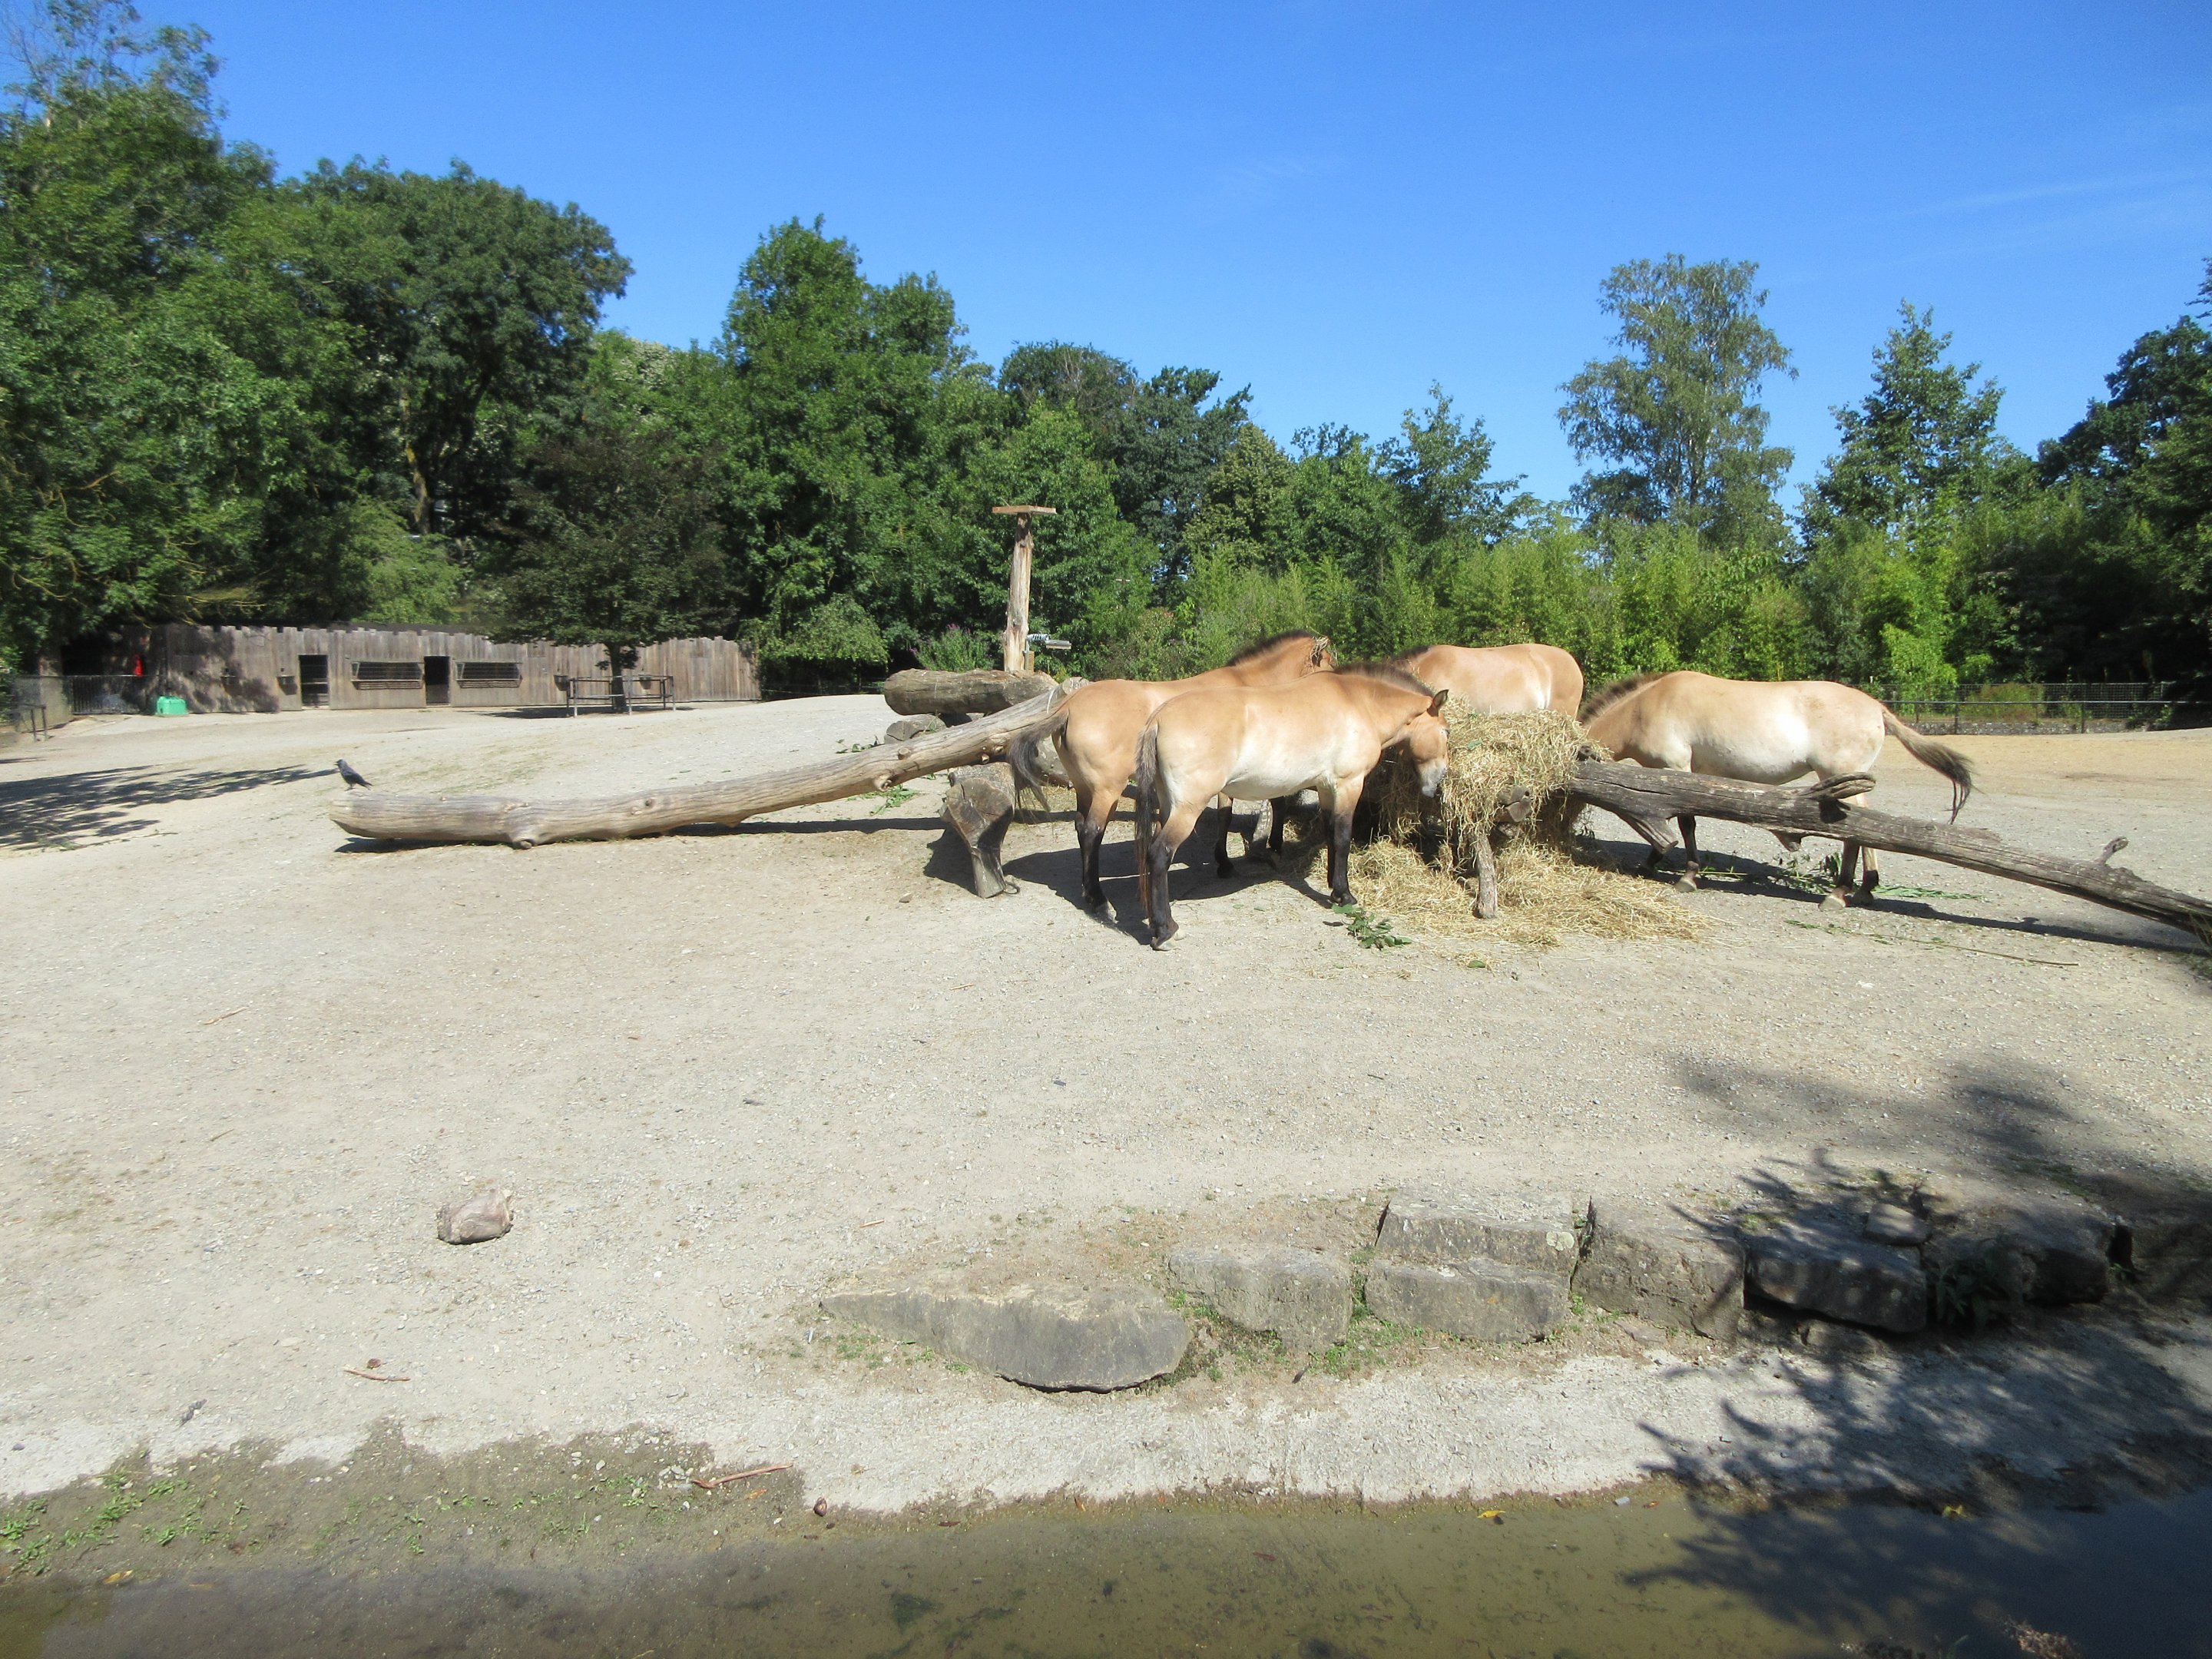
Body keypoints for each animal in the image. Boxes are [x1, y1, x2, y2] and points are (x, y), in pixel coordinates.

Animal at [1036, 631, 1336, 910]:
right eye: (1330, 665)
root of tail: (1069, 708)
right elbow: (1241, 813)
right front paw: (1236, 860)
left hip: (1084, 787)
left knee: (1080, 827)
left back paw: (1088, 890)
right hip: (1107, 790)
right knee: (1092, 832)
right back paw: (1097, 897)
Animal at [1130, 665, 1452, 948]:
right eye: (1446, 732)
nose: (1437, 784)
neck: (1359, 703)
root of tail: (1159, 718)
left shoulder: (1326, 788)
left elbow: (1331, 833)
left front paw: (1334, 889)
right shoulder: (1349, 785)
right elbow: (1343, 838)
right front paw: (1345, 896)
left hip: (1169, 805)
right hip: (1187, 809)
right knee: (1160, 853)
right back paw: (1166, 931)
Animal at [1580, 670, 1974, 905]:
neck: (1645, 708)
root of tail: (1878, 708)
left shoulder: (1676, 769)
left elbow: (1685, 822)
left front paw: (1687, 875)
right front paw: (1653, 863)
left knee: (1854, 830)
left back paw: (1839, 892)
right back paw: (1865, 888)